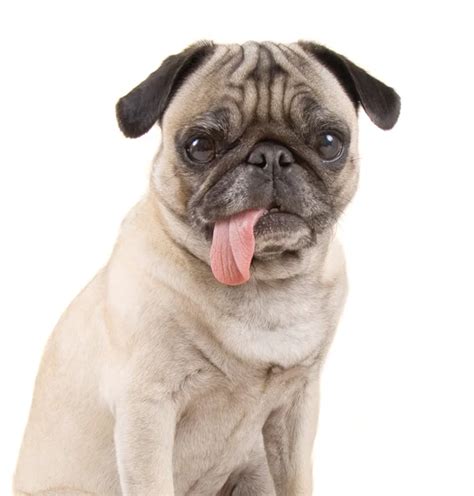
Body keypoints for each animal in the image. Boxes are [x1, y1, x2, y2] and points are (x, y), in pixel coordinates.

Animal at [13, 40, 400, 494]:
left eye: (328, 142)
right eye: (199, 146)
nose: (271, 156)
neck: (263, 282)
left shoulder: (298, 408)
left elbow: (297, 480)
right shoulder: (147, 411)